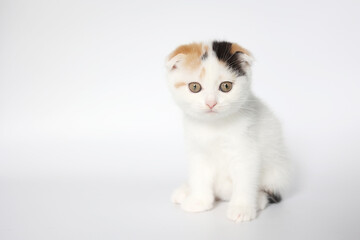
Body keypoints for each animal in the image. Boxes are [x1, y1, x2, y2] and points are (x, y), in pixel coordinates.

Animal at [165, 40, 290, 222]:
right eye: (194, 87)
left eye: (226, 86)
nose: (211, 103)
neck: (215, 126)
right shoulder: (198, 151)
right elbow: (199, 175)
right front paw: (198, 200)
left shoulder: (246, 151)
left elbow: (245, 180)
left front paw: (242, 208)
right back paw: (185, 190)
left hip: (279, 171)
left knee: (273, 191)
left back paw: (259, 199)